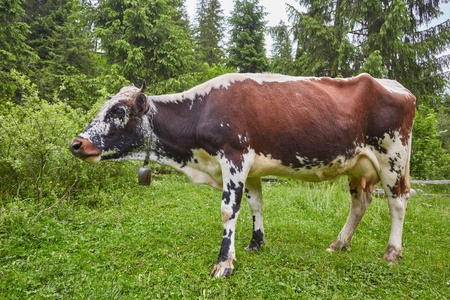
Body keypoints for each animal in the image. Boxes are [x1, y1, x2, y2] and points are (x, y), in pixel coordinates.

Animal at [68, 72, 416, 276]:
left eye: (117, 111)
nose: (76, 144)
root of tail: (399, 87)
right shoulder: (251, 169)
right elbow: (255, 205)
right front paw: (255, 244)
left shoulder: (233, 158)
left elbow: (228, 210)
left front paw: (224, 262)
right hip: (358, 165)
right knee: (360, 202)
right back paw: (338, 243)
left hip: (393, 157)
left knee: (398, 202)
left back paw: (392, 253)